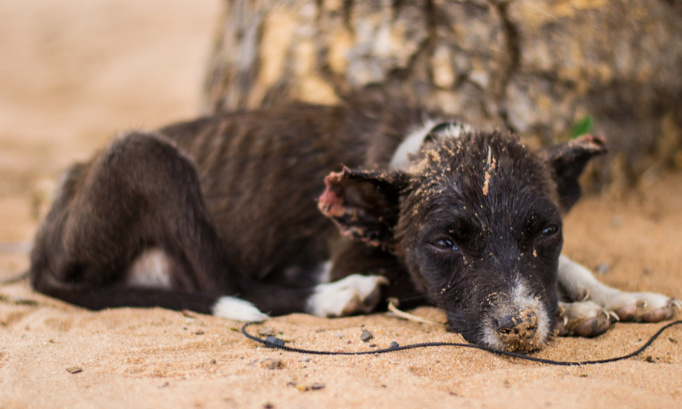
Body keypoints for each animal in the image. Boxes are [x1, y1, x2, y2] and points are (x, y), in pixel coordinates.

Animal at [30, 90, 676, 350]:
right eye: (445, 242)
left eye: (544, 230)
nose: (519, 327)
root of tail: (44, 245)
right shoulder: (361, 254)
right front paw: (575, 314)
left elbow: (573, 266)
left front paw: (628, 297)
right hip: (149, 156)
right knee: (231, 285)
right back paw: (339, 297)